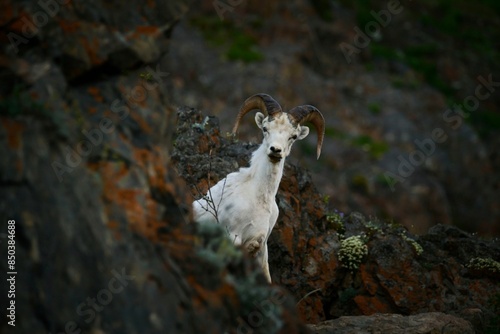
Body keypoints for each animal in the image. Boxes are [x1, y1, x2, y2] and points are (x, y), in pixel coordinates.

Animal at [191, 93, 324, 282]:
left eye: (293, 136)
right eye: (265, 129)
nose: (275, 150)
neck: (259, 198)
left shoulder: (261, 247)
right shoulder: (233, 237)